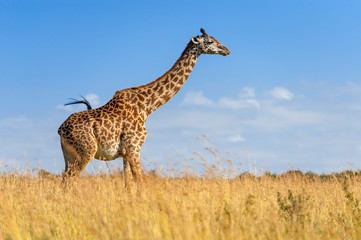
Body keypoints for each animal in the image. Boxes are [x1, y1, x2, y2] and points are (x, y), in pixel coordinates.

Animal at [57, 29, 229, 184]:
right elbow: (139, 183)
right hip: (85, 153)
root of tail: (61, 129)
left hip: (69, 157)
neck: (147, 107)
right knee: (70, 181)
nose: (226, 50)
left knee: (65, 180)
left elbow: (128, 185)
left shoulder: (125, 153)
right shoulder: (134, 148)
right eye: (209, 41)